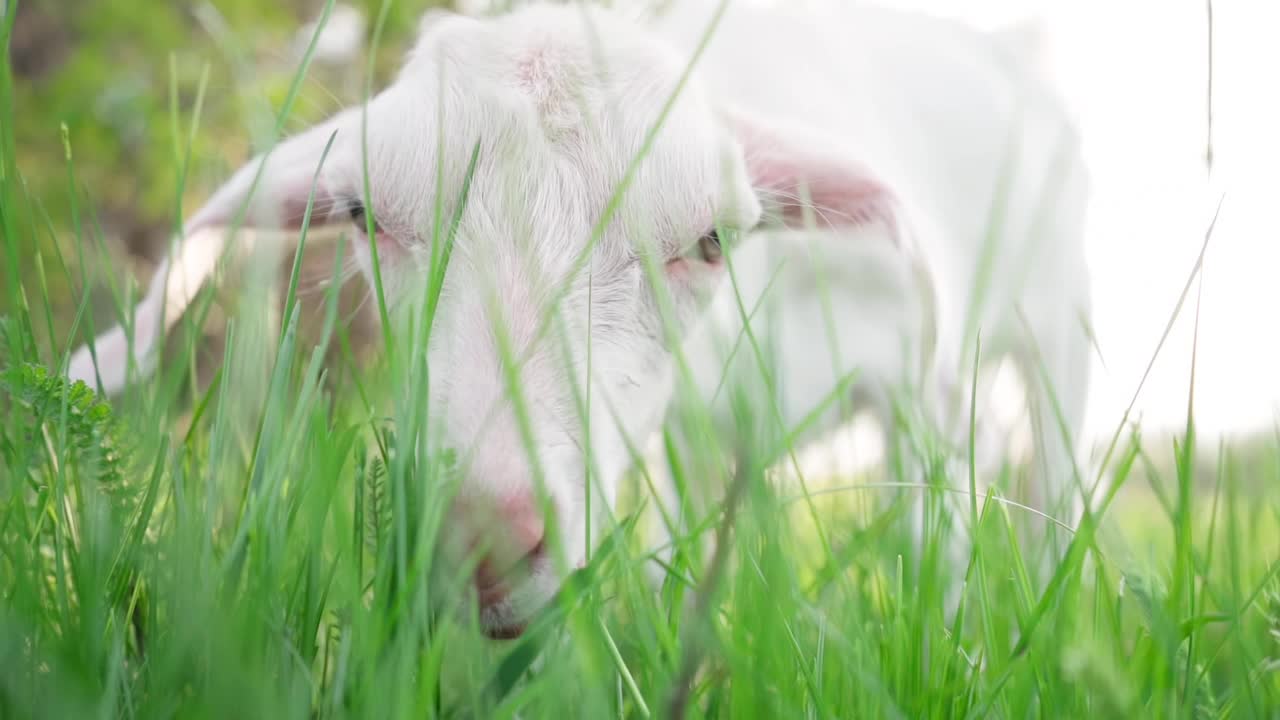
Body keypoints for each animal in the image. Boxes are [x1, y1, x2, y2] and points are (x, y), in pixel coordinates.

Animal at [64, 2, 1090, 635]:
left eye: (711, 241)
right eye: (363, 216)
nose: (477, 536)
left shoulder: (919, 393)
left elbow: (940, 550)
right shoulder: (679, 438)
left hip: (1056, 341)